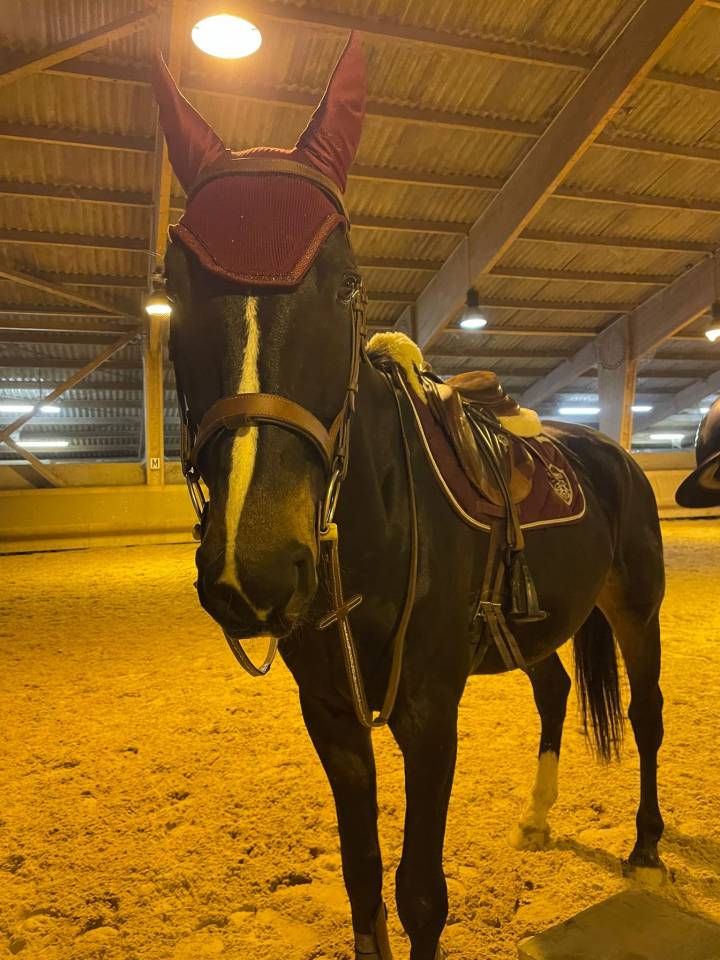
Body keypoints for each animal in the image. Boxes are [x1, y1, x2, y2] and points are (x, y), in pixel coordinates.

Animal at [152, 34, 666, 960]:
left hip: (636, 608)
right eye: (172, 286)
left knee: (645, 716)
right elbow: (363, 887)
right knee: (555, 693)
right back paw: (539, 817)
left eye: (348, 284)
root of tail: (608, 448)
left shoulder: (430, 712)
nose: (255, 567)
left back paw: (646, 846)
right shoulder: (332, 716)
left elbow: (421, 895)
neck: (374, 527)